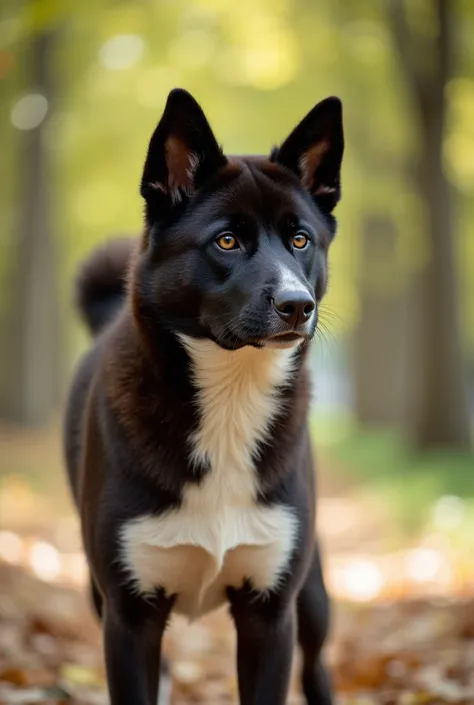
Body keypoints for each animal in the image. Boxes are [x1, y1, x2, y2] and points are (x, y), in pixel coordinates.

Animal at [64, 88, 344, 704]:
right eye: (227, 240)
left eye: (300, 240)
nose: (298, 305)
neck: (231, 400)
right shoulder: (129, 615)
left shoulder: (271, 614)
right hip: (99, 592)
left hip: (312, 596)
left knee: (317, 667)